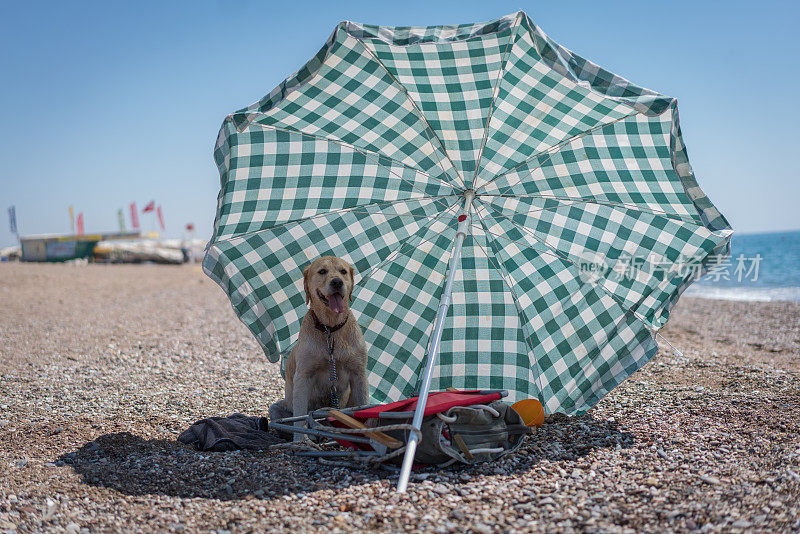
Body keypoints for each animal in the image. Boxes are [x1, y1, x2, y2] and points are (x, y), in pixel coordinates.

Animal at [268, 256, 368, 440]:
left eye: (343, 271)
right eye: (322, 271)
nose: (337, 282)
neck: (330, 329)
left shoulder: (359, 374)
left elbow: (364, 406)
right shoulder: (303, 376)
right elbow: (300, 417)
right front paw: (300, 440)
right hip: (276, 408)